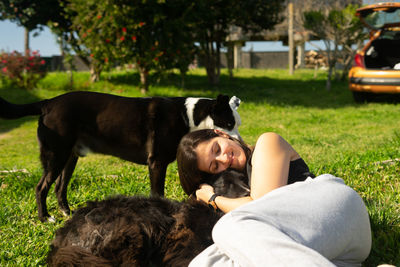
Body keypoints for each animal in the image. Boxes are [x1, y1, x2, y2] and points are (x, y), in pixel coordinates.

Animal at [0, 92, 241, 222]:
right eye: (229, 123)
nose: (240, 141)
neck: (187, 116)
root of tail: (47, 102)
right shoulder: (157, 163)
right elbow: (158, 193)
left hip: (69, 157)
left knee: (60, 187)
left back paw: (66, 213)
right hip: (55, 155)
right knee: (41, 187)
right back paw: (45, 218)